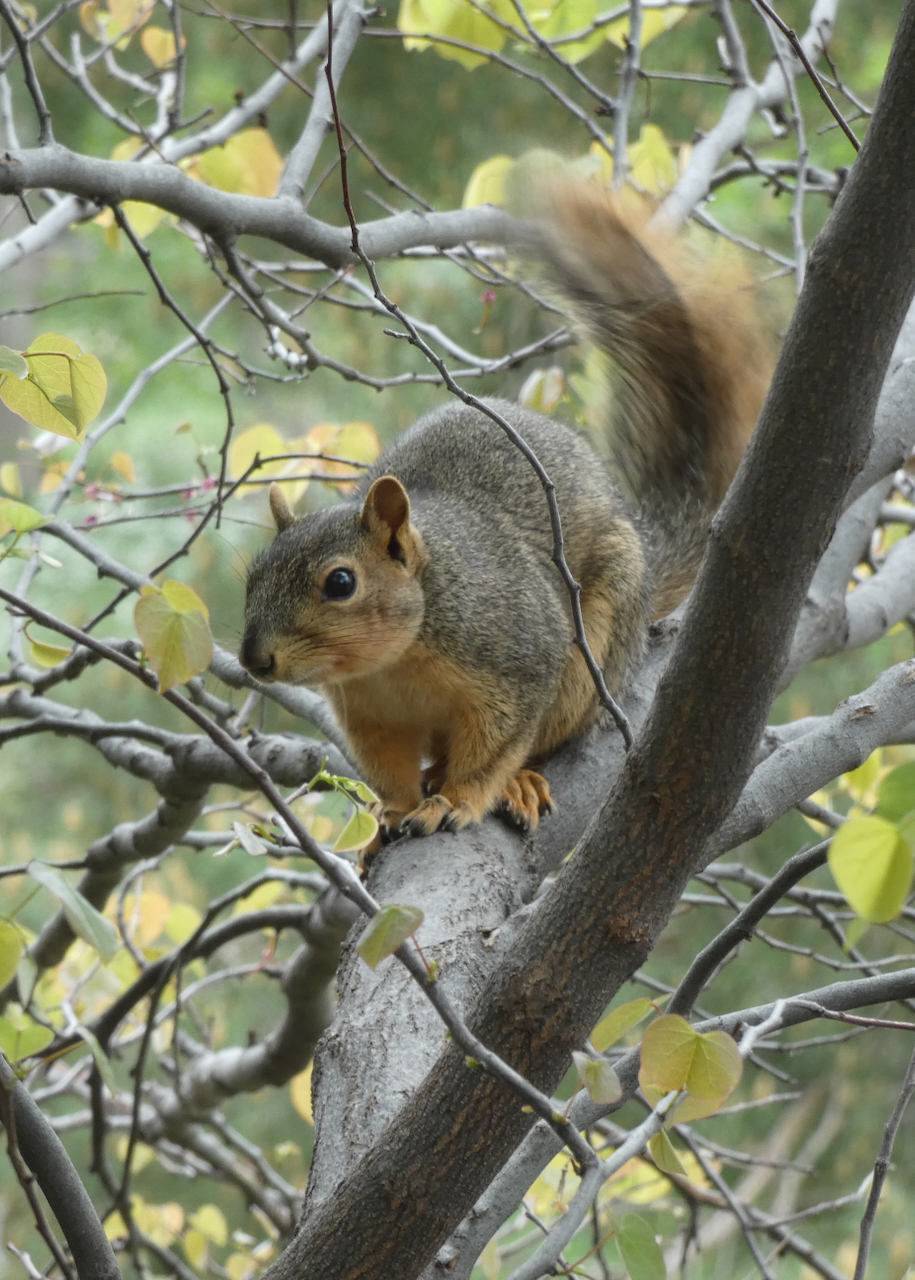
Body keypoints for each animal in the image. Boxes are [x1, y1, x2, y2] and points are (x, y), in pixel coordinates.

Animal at [239, 183, 767, 839]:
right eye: (253, 577)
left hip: (595, 649)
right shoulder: (368, 714)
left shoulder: (519, 658)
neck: (395, 662)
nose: (254, 659)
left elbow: (494, 747)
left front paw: (459, 800)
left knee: (547, 734)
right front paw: (395, 811)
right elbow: (389, 768)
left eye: (340, 583)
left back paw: (518, 781)